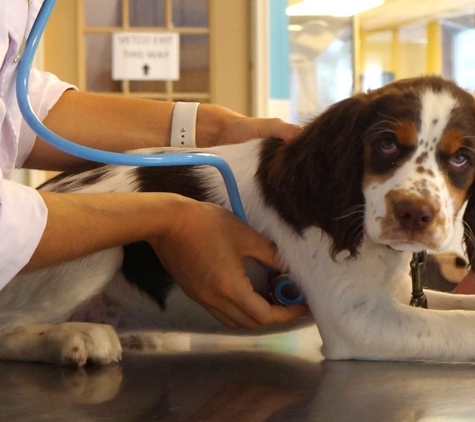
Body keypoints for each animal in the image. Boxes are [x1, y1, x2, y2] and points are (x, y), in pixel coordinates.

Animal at [4, 76, 475, 366]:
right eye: (386, 144)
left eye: (461, 158)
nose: (414, 214)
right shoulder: (358, 320)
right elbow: (462, 325)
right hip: (103, 236)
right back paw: (76, 338)